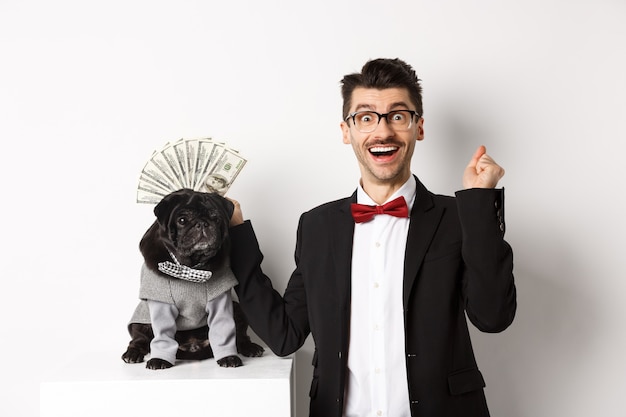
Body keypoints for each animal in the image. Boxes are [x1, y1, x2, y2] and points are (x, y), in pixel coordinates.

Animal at [120, 188, 262, 368]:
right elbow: (162, 336)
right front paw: (159, 359)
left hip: (237, 309)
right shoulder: (162, 304)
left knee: (240, 336)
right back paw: (133, 353)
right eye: (182, 220)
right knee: (140, 340)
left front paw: (228, 357)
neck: (190, 267)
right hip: (141, 321)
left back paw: (249, 347)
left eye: (216, 218)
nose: (202, 223)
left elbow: (224, 331)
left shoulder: (220, 300)